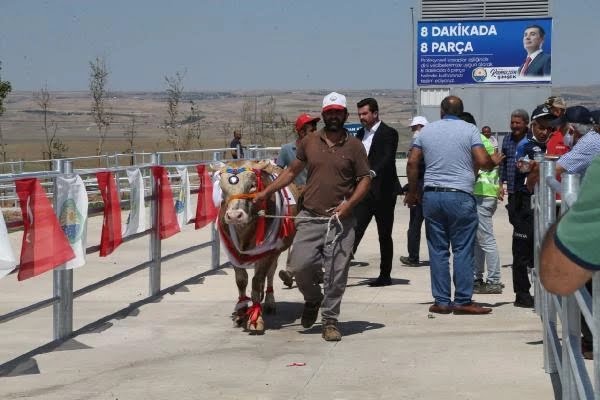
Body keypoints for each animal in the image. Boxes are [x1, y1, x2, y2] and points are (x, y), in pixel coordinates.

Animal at [216, 160, 300, 334]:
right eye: (221, 187)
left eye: (252, 186)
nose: (234, 216)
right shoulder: (232, 252)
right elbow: (241, 280)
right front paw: (241, 313)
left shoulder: (268, 252)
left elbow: (257, 280)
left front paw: (256, 318)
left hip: (276, 251)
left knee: (270, 273)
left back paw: (268, 302)